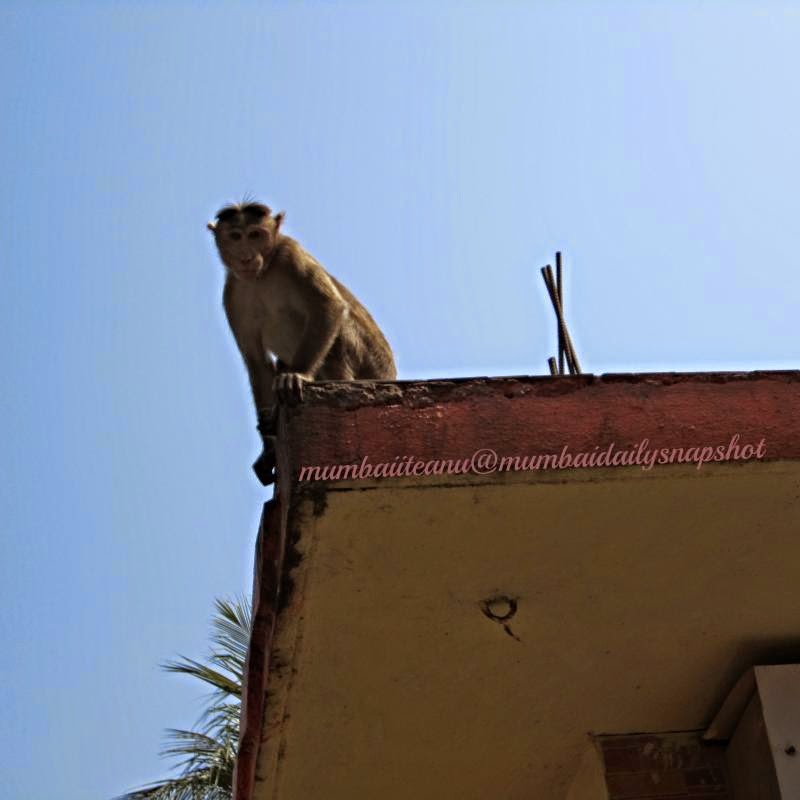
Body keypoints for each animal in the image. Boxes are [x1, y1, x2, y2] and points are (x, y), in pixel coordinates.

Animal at [205, 200, 396, 488]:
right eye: (235, 237)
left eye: (255, 235)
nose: (246, 257)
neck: (263, 272)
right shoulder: (232, 292)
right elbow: (256, 361)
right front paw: (269, 450)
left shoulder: (290, 254)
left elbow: (329, 306)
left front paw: (297, 376)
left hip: (369, 361)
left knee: (338, 331)